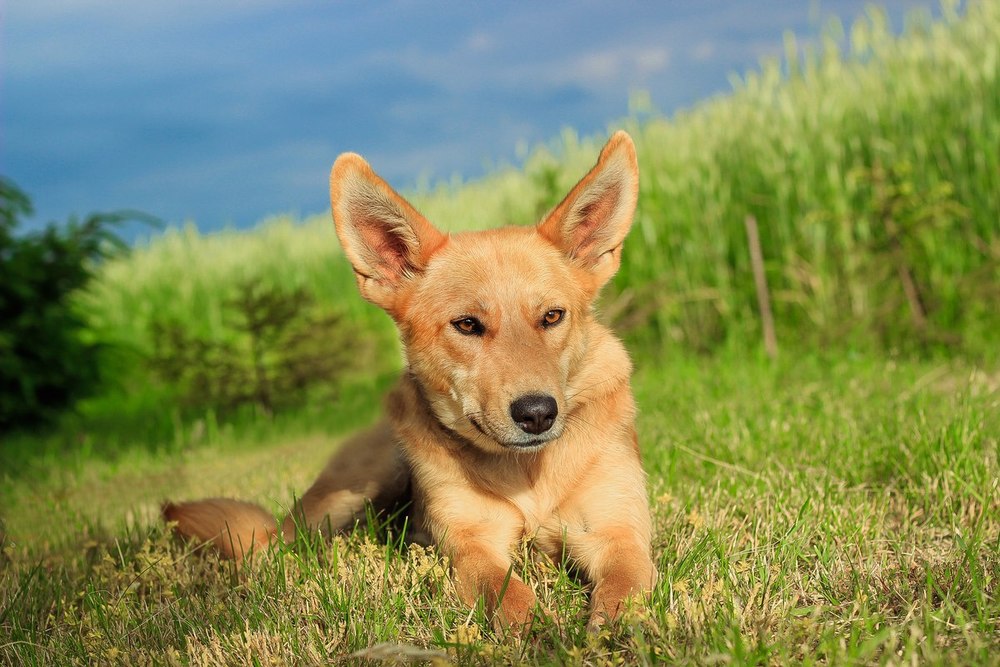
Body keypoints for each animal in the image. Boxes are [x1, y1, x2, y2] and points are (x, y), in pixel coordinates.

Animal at [164, 130, 656, 632]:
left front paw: (614, 633)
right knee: (273, 547)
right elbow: (508, 595)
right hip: (351, 491)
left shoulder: (619, 532)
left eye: (553, 317)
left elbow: (624, 586)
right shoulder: (472, 545)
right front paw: (539, 634)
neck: (527, 474)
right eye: (467, 325)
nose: (537, 414)